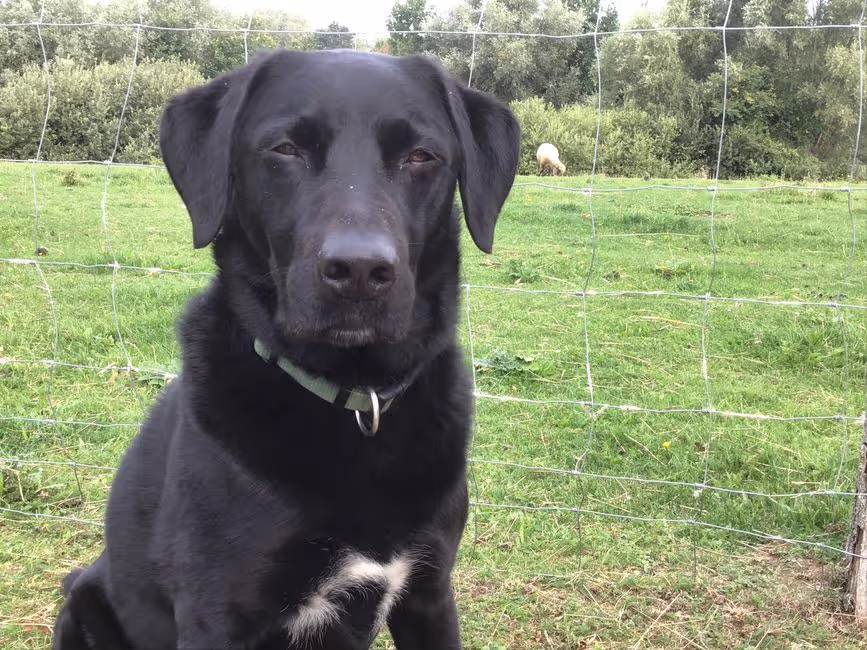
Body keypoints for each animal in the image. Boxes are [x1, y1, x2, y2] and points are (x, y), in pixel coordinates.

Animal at [51, 48, 520, 649]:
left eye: (421, 156)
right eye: (286, 149)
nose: (360, 271)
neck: (356, 399)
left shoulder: (429, 594)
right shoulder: (218, 616)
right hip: (82, 600)